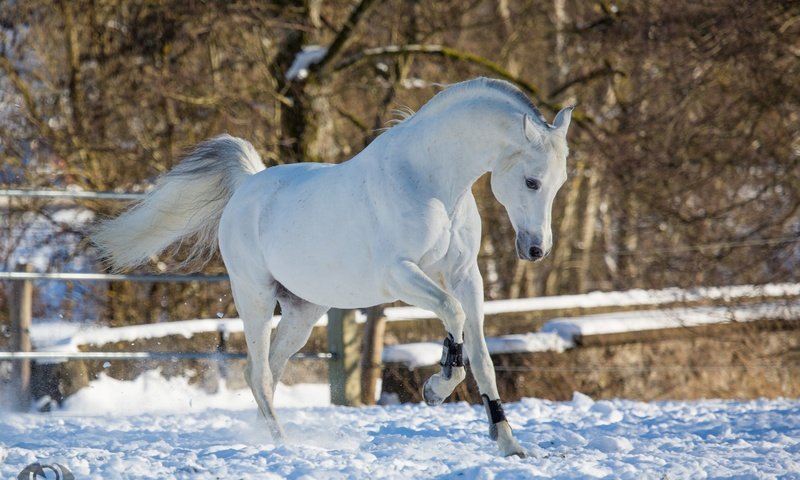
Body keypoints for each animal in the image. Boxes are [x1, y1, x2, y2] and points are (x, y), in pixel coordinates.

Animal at [92, 77, 568, 456]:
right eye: (531, 181)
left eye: (559, 183)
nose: (536, 250)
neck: (430, 182)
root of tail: (247, 185)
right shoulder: (400, 275)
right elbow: (452, 315)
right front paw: (435, 389)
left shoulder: (465, 276)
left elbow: (483, 358)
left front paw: (508, 443)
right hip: (254, 298)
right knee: (258, 372)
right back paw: (283, 444)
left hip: (302, 313)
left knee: (267, 372)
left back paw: (275, 437)